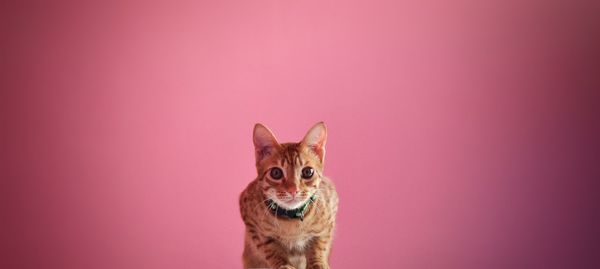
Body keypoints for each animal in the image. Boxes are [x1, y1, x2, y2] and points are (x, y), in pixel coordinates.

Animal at [241, 122, 340, 268]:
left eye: (308, 172)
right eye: (276, 173)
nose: (293, 190)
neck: (291, 221)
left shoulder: (330, 212)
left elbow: (320, 243)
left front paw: (318, 263)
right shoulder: (251, 221)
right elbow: (269, 248)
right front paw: (283, 265)